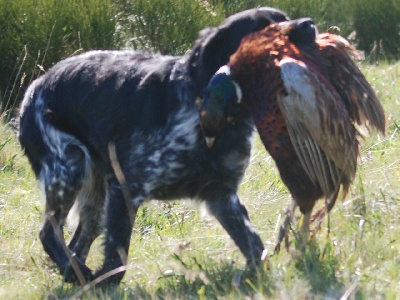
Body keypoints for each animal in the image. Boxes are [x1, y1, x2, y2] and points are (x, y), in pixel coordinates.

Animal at [18, 7, 288, 286]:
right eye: (264, 34)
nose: (304, 27)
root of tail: (36, 85)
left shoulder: (222, 195)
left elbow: (254, 245)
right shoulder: (126, 188)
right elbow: (117, 255)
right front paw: (107, 283)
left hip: (95, 198)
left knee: (76, 242)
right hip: (70, 168)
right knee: (48, 233)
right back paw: (76, 273)